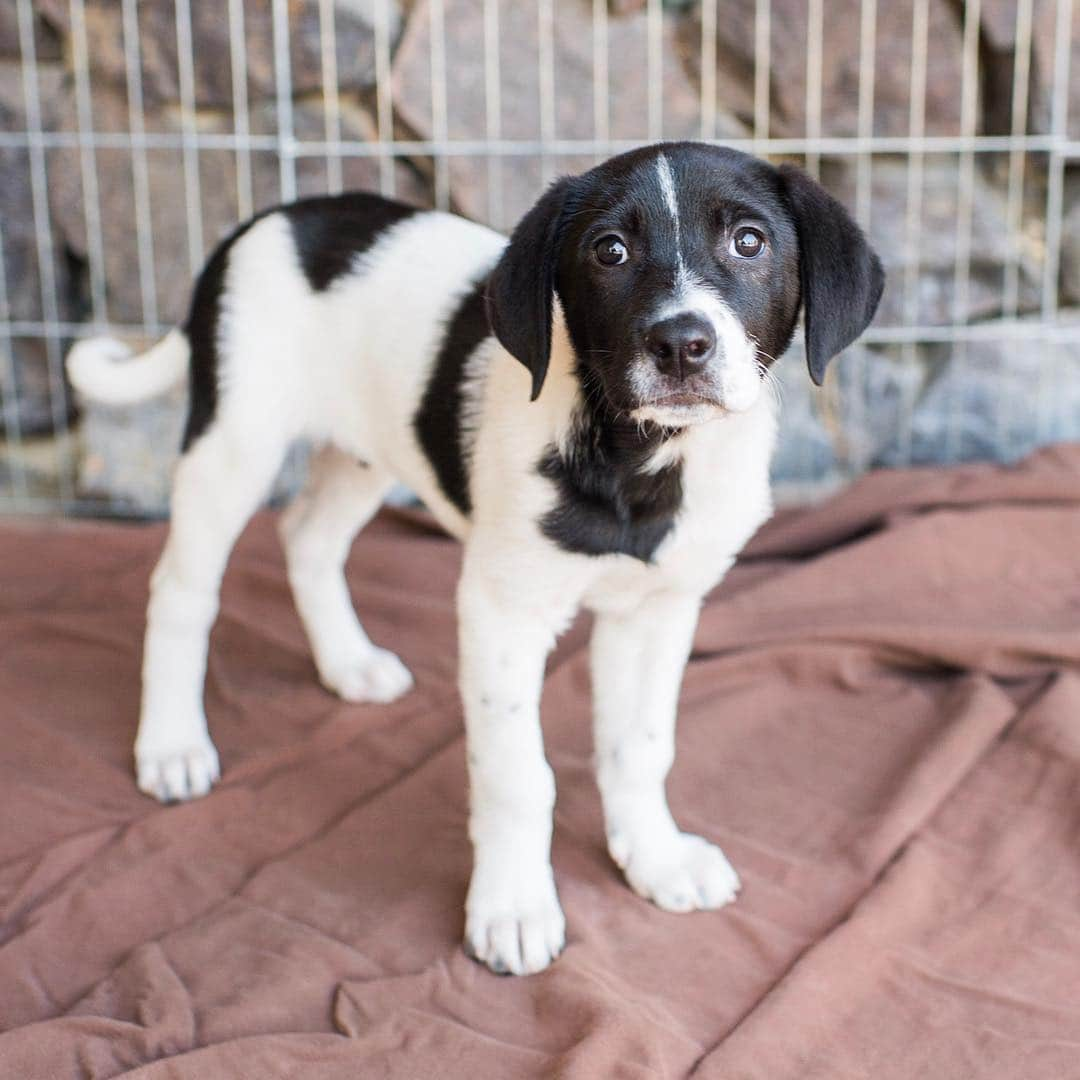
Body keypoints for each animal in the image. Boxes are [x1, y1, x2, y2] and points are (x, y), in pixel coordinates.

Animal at [67, 139, 881, 976]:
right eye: (609, 252)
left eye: (749, 242)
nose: (682, 343)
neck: (643, 464)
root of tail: (264, 221)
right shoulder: (502, 614)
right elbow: (519, 778)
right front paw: (514, 907)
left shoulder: (658, 611)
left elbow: (641, 747)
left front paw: (655, 858)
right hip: (234, 442)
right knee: (181, 590)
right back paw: (171, 743)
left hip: (365, 450)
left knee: (306, 537)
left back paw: (348, 663)